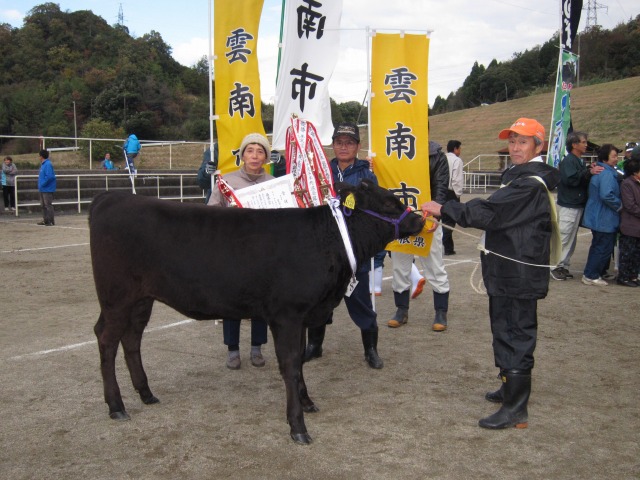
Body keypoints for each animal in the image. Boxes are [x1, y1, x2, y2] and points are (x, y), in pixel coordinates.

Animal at [89, 179, 424, 442]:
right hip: (117, 297)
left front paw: (307, 402)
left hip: (141, 299)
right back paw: (116, 406)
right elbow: (290, 364)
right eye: (389, 202)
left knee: (131, 339)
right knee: (107, 340)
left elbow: (299, 362)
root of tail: (113, 197)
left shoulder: (302, 315)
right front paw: (297, 426)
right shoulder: (287, 314)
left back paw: (146, 394)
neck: (325, 239)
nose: (420, 220)